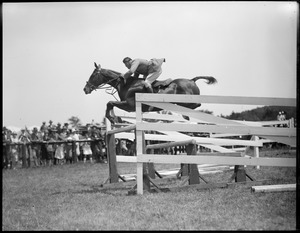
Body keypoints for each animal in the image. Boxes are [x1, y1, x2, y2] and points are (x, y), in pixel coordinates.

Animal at [83, 62, 217, 124]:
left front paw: (112, 119)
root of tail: (191, 80)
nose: (85, 89)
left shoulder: (129, 105)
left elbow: (110, 103)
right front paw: (115, 119)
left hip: (187, 101)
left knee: (197, 105)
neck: (126, 84)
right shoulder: (129, 107)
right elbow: (110, 103)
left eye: (93, 75)